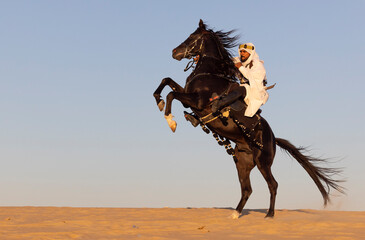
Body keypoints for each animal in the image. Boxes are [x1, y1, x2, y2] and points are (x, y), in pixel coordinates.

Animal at [152, 19, 342, 218]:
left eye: (192, 37)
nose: (174, 52)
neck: (209, 74)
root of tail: (273, 138)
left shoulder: (197, 101)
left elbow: (172, 94)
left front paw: (170, 120)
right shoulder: (188, 98)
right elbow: (167, 81)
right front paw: (159, 101)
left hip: (262, 162)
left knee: (272, 185)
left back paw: (269, 214)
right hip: (242, 162)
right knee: (247, 189)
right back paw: (235, 214)